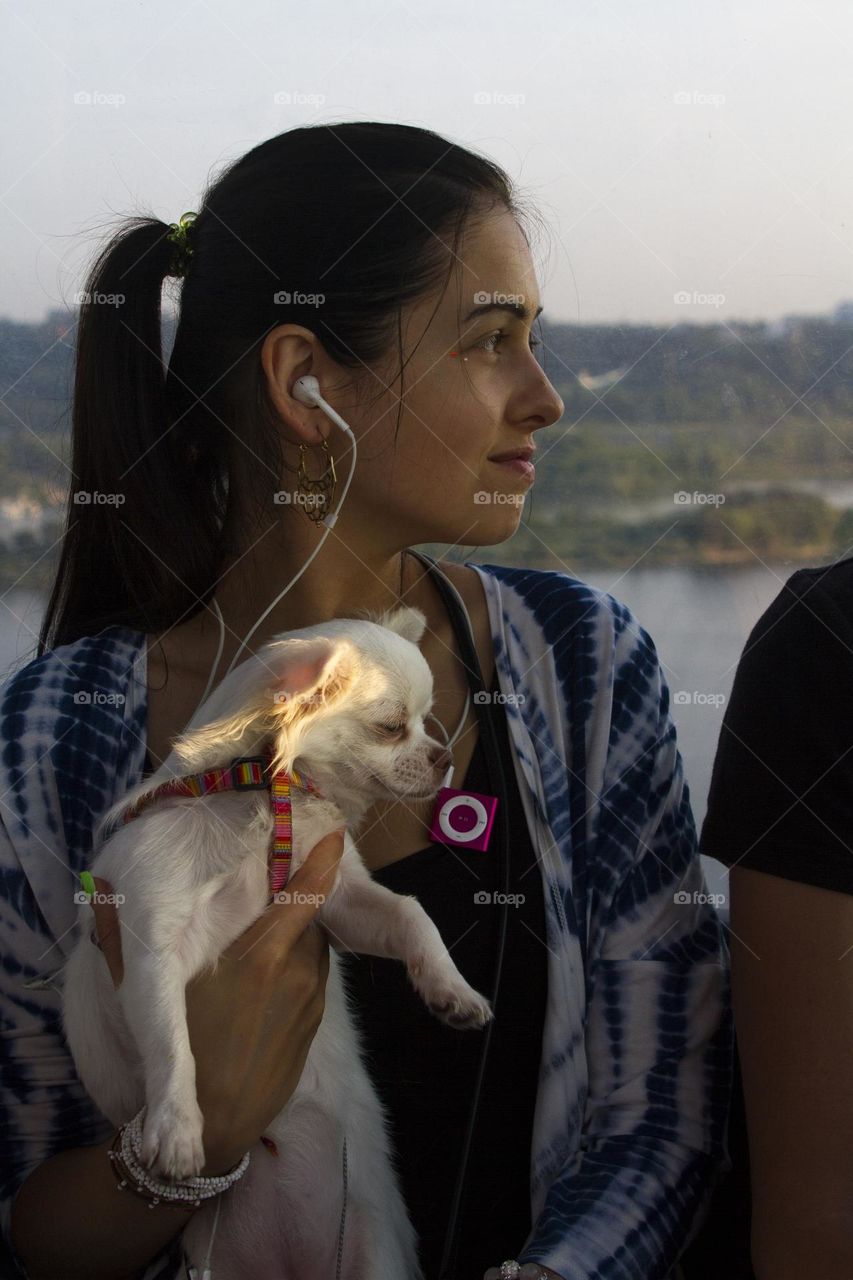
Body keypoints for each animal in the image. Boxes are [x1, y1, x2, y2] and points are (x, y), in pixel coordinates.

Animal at [61, 606, 491, 1280]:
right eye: (392, 727)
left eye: (427, 724)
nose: (442, 756)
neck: (261, 797)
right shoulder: (153, 945)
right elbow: (172, 1042)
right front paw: (177, 1127)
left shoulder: (339, 902)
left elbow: (409, 914)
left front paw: (453, 991)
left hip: (371, 1256)